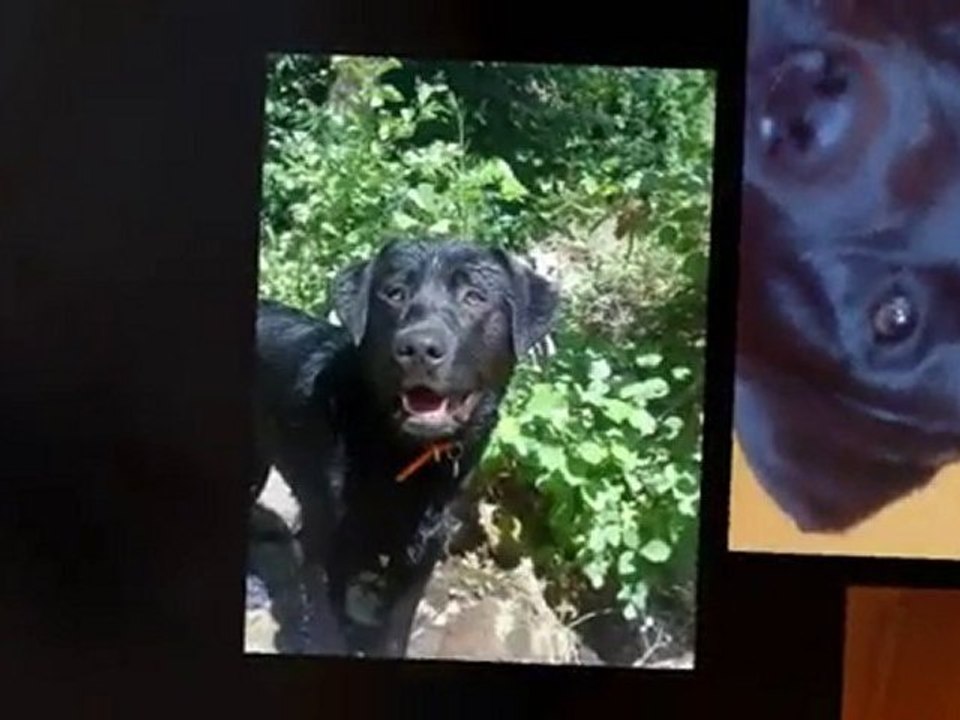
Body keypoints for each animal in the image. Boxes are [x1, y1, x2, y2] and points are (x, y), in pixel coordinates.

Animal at [248, 237, 559, 657]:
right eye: (394, 293)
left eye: (474, 297)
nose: (419, 348)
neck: (397, 453)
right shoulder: (323, 538)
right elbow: (329, 625)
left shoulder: (422, 551)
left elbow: (395, 630)